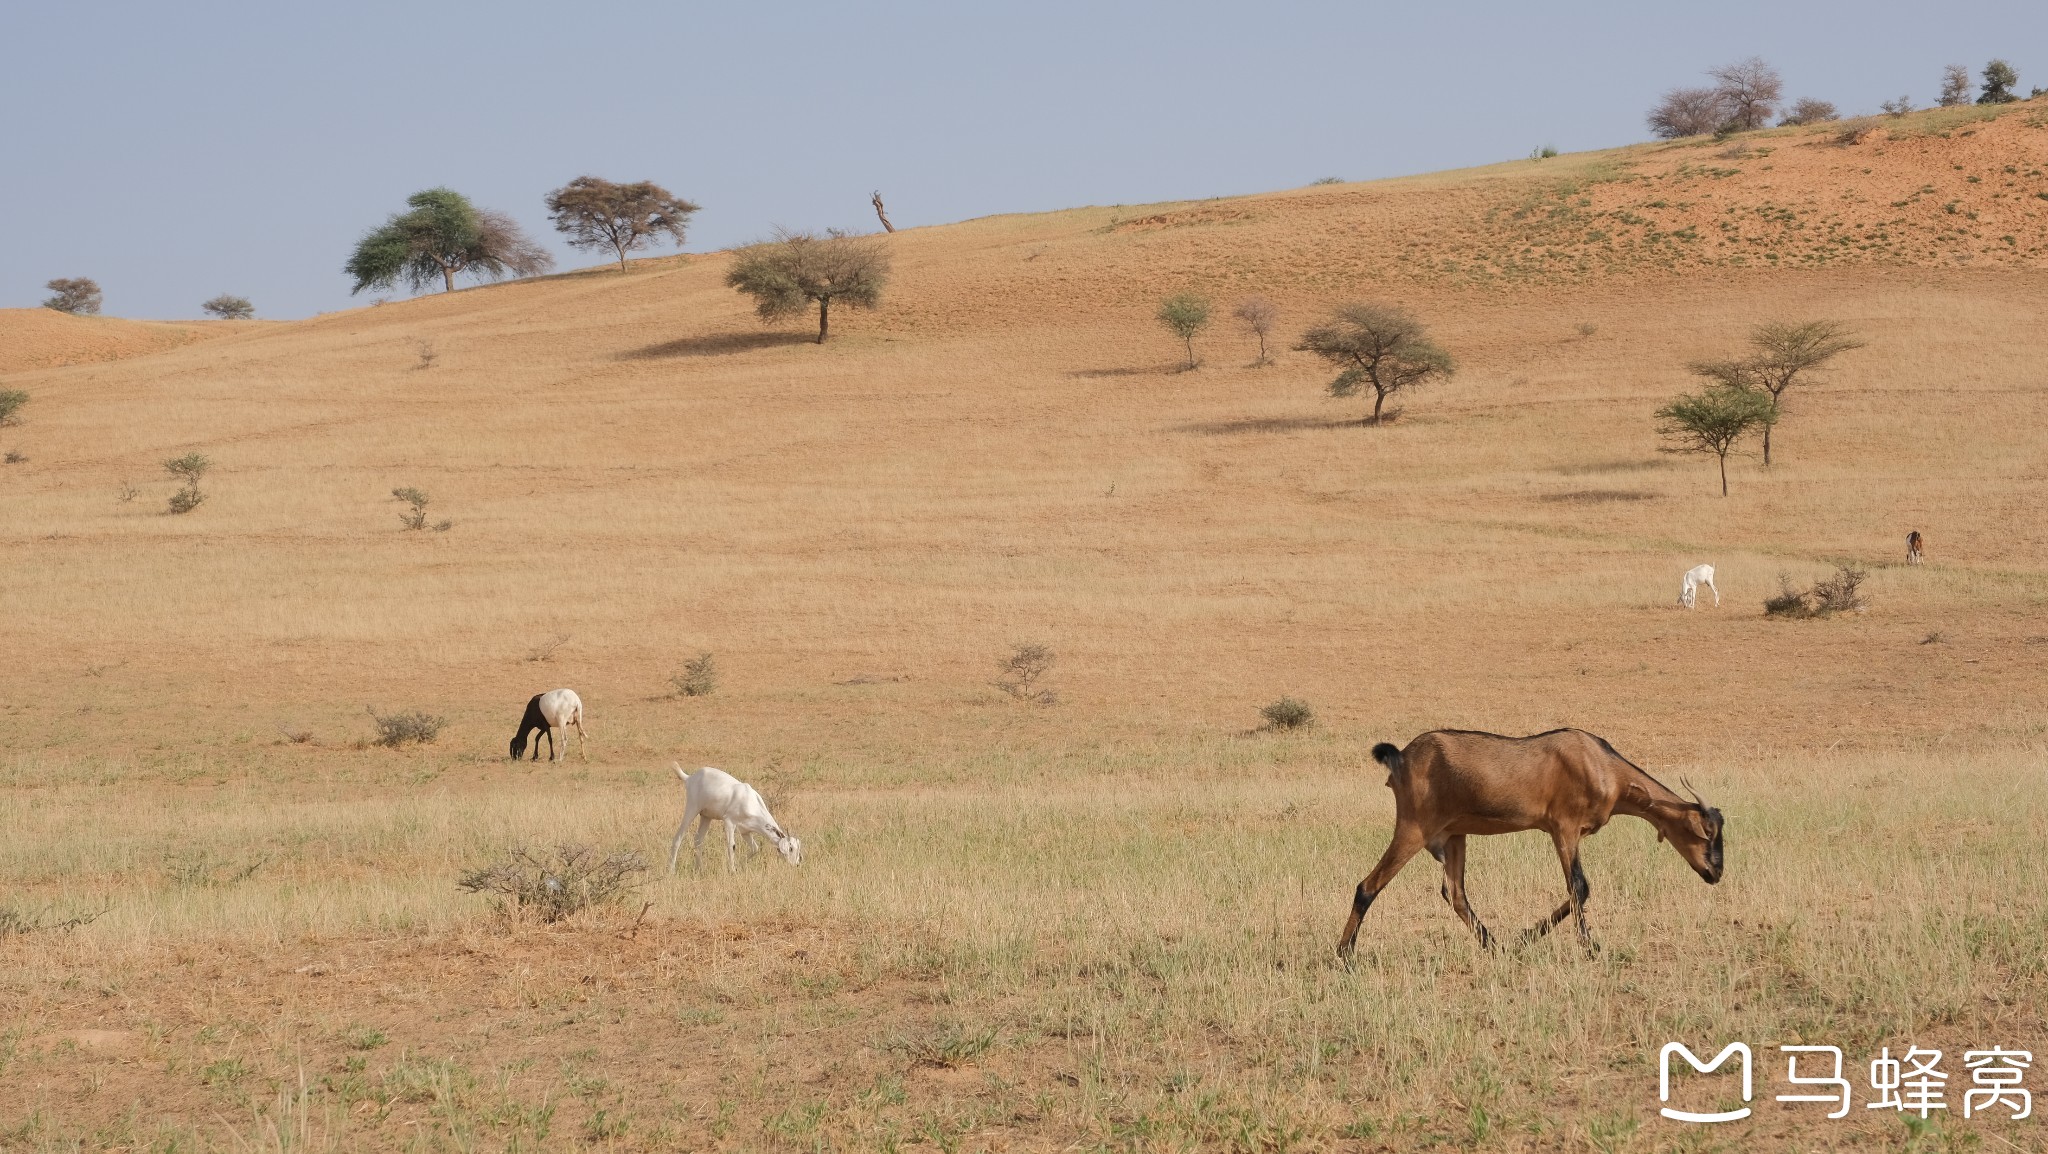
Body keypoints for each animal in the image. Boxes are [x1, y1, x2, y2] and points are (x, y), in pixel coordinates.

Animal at [667, 766, 802, 877]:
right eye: (790, 848)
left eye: (798, 849)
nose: (796, 865)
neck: (750, 801)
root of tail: (690, 778)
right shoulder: (729, 822)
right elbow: (731, 846)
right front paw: (732, 870)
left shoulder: (746, 832)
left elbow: (755, 848)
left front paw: (739, 866)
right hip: (692, 808)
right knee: (678, 837)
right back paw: (671, 870)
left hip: (706, 817)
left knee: (698, 840)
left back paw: (699, 869)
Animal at [1335, 729, 1720, 959]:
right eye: (1707, 832)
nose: (1715, 872)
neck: (1601, 764)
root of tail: (1400, 757)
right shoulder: (1564, 829)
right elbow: (1579, 887)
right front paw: (1589, 946)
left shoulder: (1564, 833)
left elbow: (1576, 890)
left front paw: (1523, 939)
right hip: (1413, 829)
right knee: (1368, 886)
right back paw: (1343, 954)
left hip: (1455, 835)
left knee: (1455, 893)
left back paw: (1495, 947)